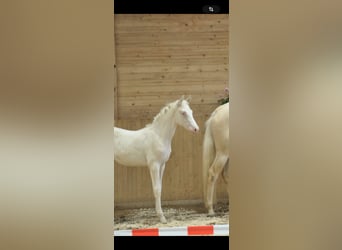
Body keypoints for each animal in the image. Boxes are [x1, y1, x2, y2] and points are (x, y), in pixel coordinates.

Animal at [114, 95, 199, 223]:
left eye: (191, 111)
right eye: (183, 112)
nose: (196, 129)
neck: (159, 136)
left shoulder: (162, 165)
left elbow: (160, 188)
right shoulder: (154, 165)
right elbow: (157, 189)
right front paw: (162, 217)